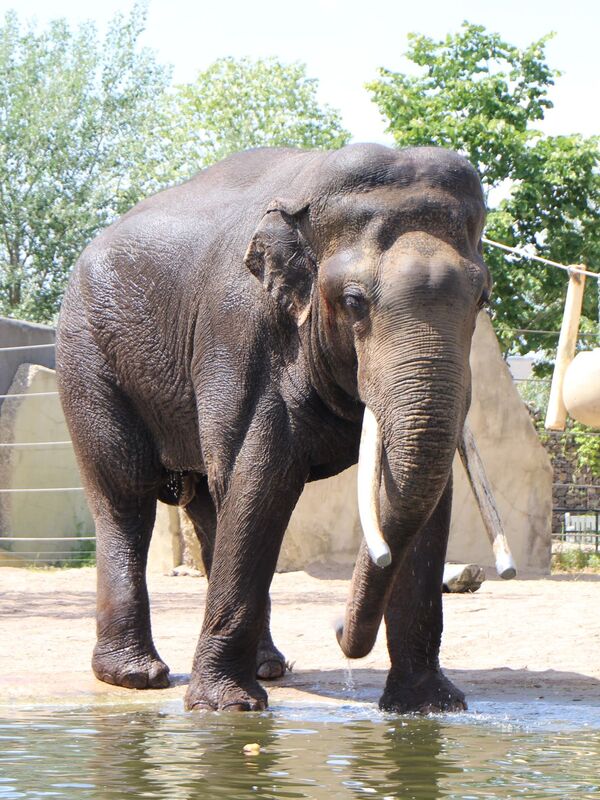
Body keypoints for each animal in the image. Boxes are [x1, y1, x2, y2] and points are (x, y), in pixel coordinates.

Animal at [56, 142, 490, 713]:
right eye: (354, 301)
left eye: (483, 300)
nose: (336, 629)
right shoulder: (239, 334)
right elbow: (261, 479)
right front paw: (227, 708)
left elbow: (430, 506)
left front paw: (428, 709)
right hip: (88, 357)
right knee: (125, 494)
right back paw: (135, 676)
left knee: (207, 505)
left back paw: (269, 668)